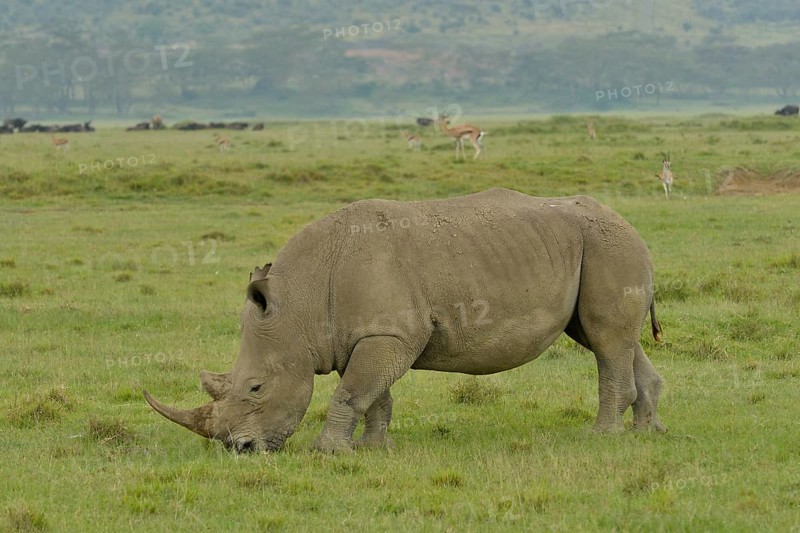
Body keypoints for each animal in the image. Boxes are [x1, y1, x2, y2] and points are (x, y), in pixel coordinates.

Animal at [144, 188, 667, 453]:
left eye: (255, 387)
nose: (239, 450)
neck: (299, 306)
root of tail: (628, 222)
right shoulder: (366, 336)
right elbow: (373, 395)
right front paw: (373, 449)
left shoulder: (388, 334)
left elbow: (351, 392)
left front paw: (326, 452)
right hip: (597, 247)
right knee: (608, 338)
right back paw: (647, 433)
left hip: (608, 244)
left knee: (605, 340)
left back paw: (601, 437)